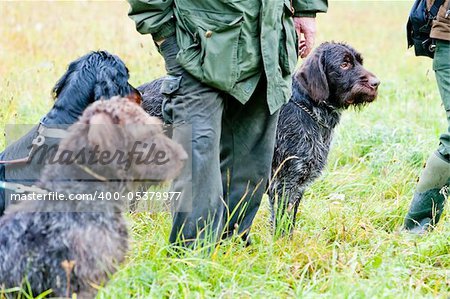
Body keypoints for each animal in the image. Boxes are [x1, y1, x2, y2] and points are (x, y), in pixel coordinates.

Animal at [270, 42, 380, 236]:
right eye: (344, 64)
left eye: (360, 62)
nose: (377, 83)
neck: (310, 109)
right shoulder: (284, 183)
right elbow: (282, 225)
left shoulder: (299, 185)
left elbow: (291, 222)